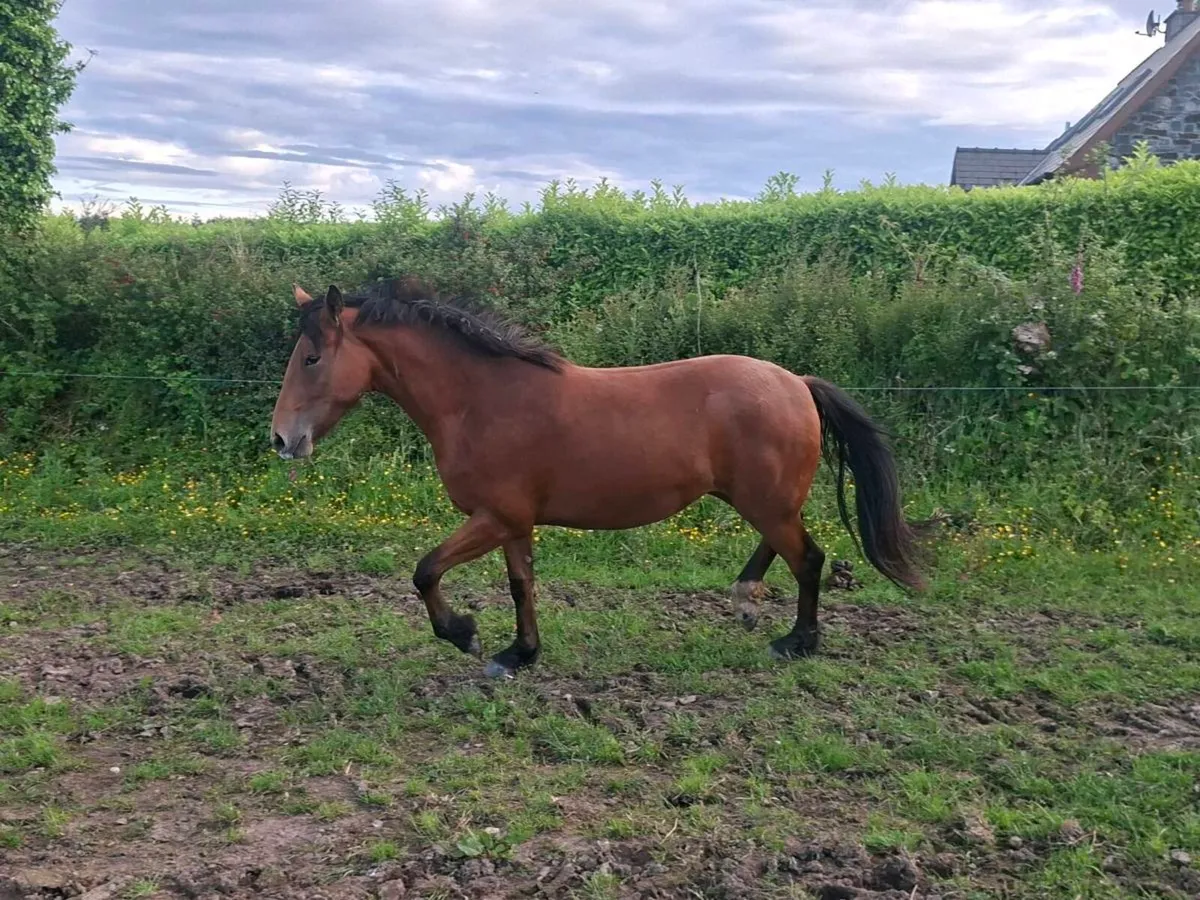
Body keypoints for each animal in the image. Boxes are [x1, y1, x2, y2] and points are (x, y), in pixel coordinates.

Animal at [270, 277, 926, 678]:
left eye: (312, 358)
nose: (282, 439)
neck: (480, 401)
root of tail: (796, 383)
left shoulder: (494, 517)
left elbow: (425, 571)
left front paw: (464, 633)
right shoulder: (513, 523)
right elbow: (521, 586)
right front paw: (519, 653)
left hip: (765, 499)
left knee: (808, 559)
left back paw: (797, 641)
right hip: (761, 498)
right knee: (785, 547)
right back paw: (745, 600)